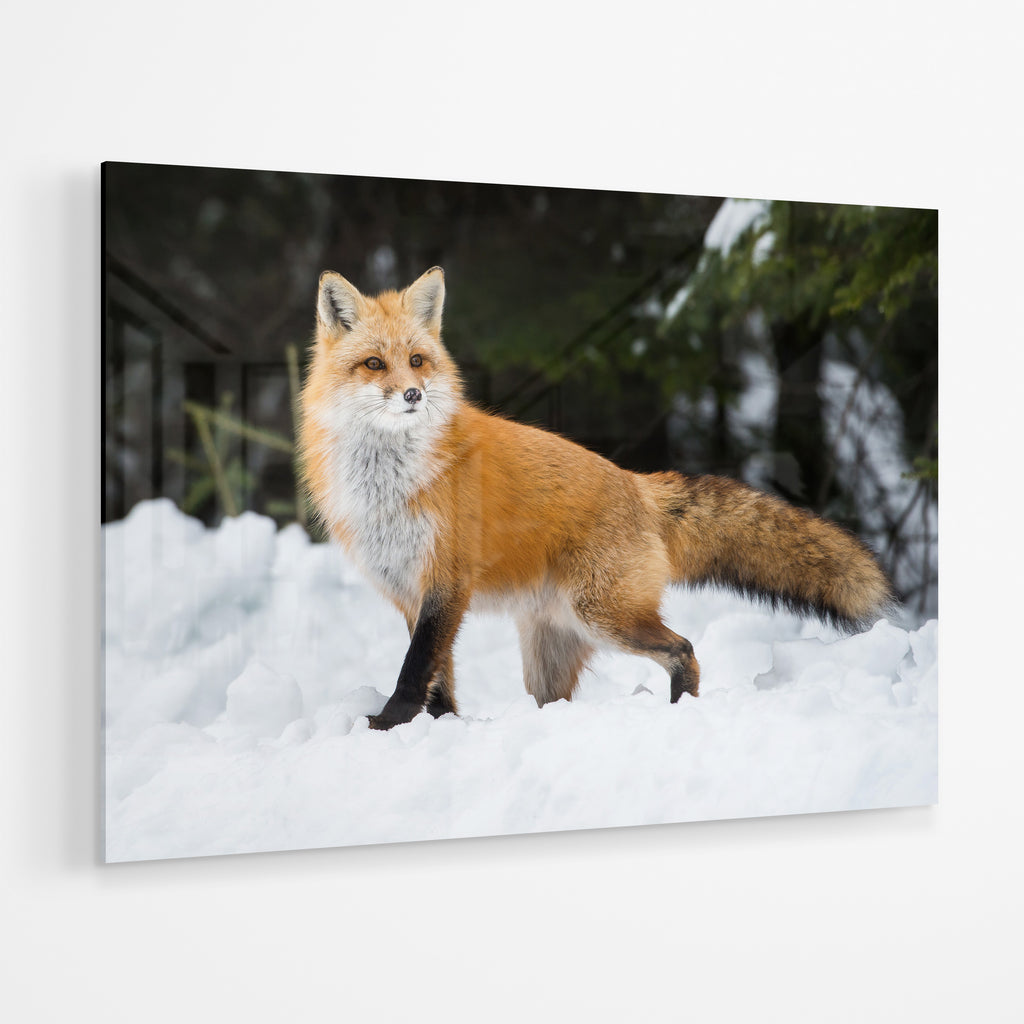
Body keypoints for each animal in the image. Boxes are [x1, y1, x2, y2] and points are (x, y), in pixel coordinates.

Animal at [299, 267, 895, 730]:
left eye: (418, 360)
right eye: (375, 364)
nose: (413, 395)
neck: (389, 483)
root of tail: (636, 482)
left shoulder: (447, 579)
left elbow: (415, 668)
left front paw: (388, 724)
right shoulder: (408, 588)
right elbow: (437, 678)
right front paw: (439, 728)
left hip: (604, 614)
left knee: (685, 650)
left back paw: (681, 711)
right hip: (550, 653)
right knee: (564, 696)